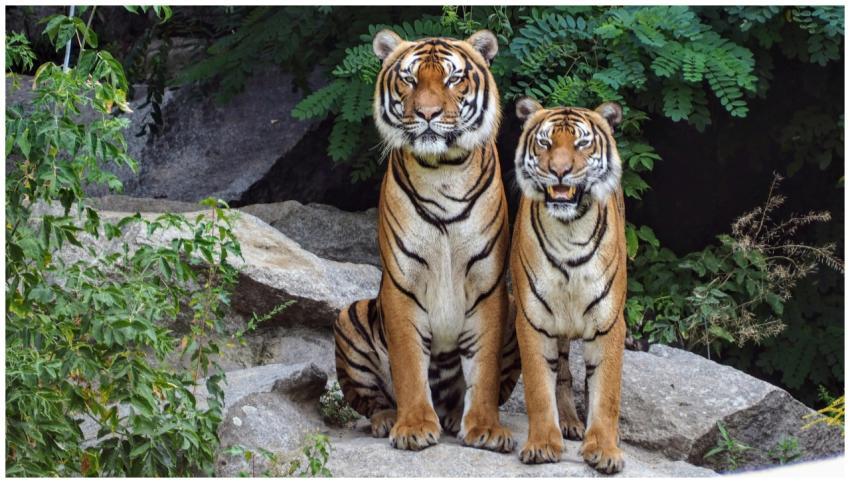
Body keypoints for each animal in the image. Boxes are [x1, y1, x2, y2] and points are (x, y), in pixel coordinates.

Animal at [333, 29, 520, 453]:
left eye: (453, 79)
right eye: (409, 79)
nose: (428, 114)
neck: (443, 170)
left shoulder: (488, 285)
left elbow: (483, 371)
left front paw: (485, 428)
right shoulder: (403, 283)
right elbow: (408, 365)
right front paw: (415, 426)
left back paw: (453, 416)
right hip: (350, 316)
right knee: (370, 400)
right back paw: (388, 419)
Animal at [509, 97, 628, 474]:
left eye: (581, 143)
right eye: (545, 143)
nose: (559, 171)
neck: (569, 231)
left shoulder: (609, 324)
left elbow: (606, 393)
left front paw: (604, 449)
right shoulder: (532, 320)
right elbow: (537, 387)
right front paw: (542, 444)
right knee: (561, 373)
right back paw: (570, 423)